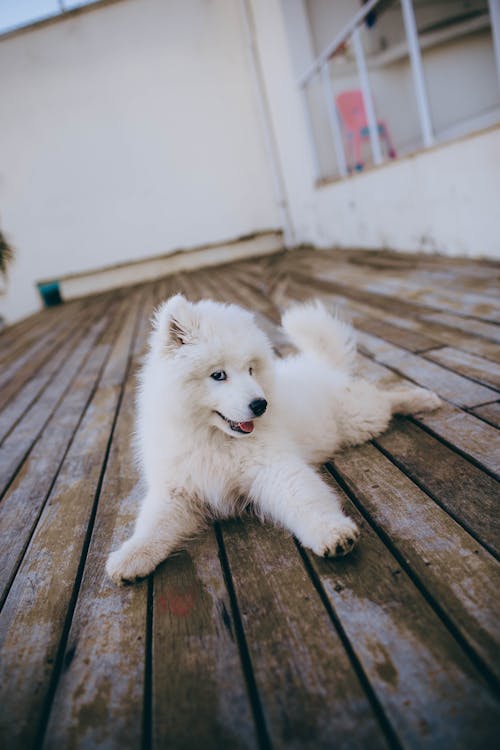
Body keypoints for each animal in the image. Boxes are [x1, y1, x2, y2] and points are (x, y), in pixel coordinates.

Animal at [106, 296, 442, 588]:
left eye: (250, 369)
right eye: (218, 375)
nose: (260, 405)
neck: (215, 439)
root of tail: (322, 367)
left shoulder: (274, 469)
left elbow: (306, 499)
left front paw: (332, 532)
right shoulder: (177, 491)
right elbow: (152, 526)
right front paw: (131, 557)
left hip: (359, 418)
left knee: (386, 399)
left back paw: (422, 398)